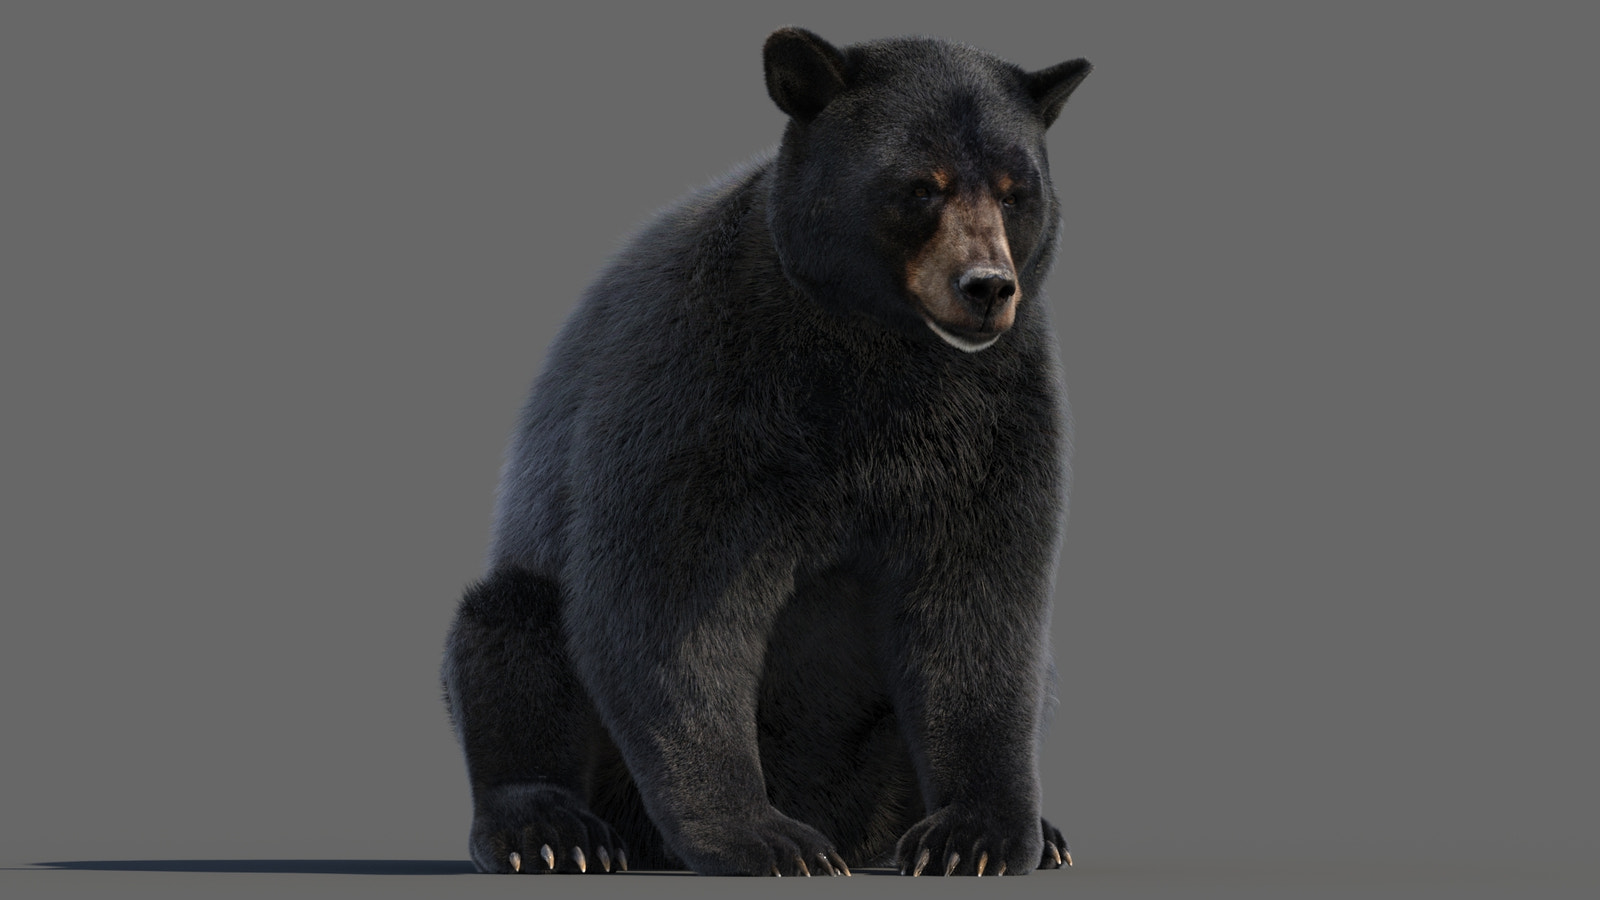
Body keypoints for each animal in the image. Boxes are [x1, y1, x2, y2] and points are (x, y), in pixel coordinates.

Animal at [441, 27, 1091, 877]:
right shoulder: (706, 380)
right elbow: (668, 601)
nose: (986, 286)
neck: (876, 347)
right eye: (921, 186)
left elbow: (980, 610)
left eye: (1017, 191)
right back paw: (553, 832)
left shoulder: (995, 412)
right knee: (508, 637)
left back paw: (1039, 834)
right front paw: (766, 838)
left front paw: (974, 837)